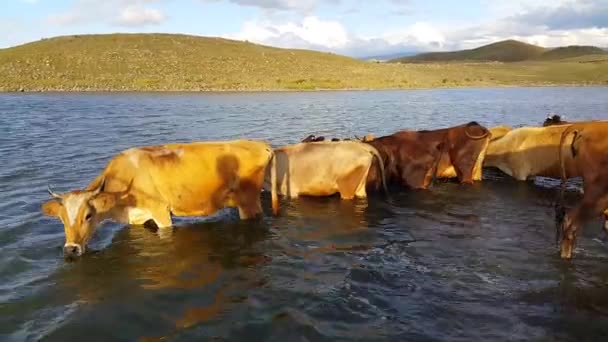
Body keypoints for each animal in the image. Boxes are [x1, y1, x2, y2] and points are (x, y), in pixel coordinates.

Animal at [41, 140, 280, 258]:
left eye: (88, 215)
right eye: (62, 219)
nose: (71, 249)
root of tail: (260, 143)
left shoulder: (160, 210)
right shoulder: (139, 217)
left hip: (248, 202)